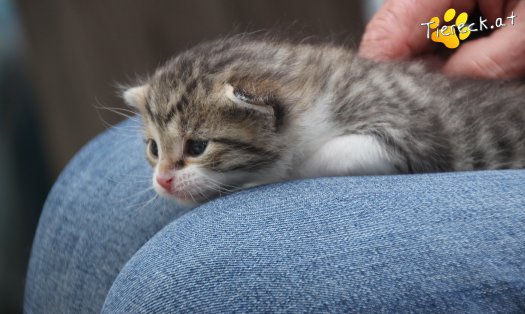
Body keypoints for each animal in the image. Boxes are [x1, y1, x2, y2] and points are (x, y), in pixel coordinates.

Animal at [124, 35, 524, 205]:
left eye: (197, 146)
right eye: (153, 148)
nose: (162, 181)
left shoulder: (411, 133)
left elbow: (328, 155)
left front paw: (267, 177)